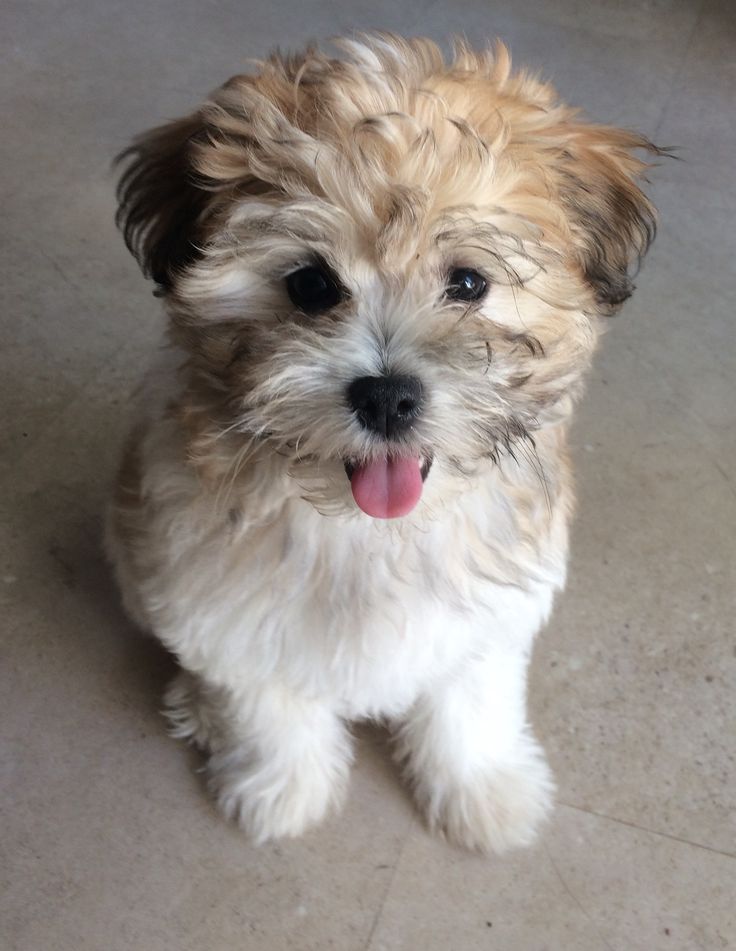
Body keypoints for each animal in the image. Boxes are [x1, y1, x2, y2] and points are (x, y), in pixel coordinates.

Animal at [106, 35, 660, 856]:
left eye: (468, 283)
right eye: (309, 285)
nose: (386, 396)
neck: (372, 530)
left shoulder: (486, 616)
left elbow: (471, 703)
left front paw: (483, 790)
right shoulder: (226, 606)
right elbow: (266, 706)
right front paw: (283, 790)